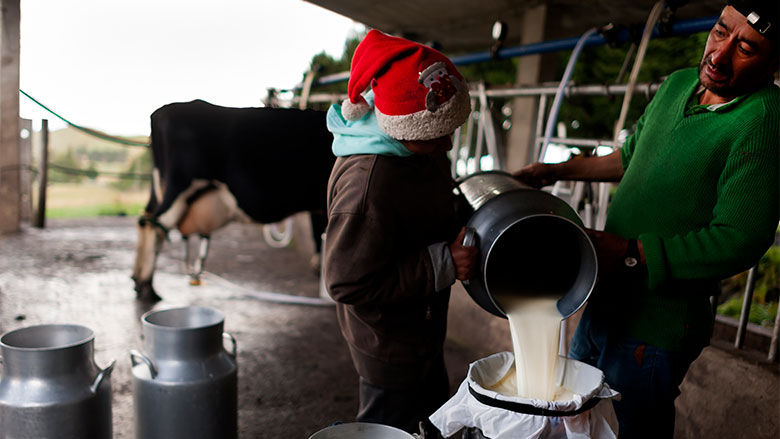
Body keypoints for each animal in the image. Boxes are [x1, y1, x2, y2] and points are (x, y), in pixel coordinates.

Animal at [132, 100, 338, 302]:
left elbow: (319, 231)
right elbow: (320, 232)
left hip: (160, 184)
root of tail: (162, 111)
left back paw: (137, 281)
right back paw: (148, 288)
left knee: (145, 219)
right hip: (180, 185)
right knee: (156, 225)